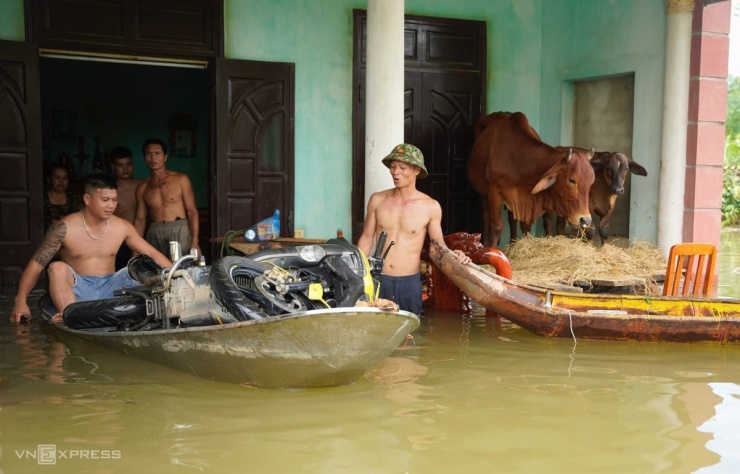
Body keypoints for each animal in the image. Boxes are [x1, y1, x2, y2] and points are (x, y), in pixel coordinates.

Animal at [468, 112, 596, 248]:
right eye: (572, 180)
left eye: (591, 182)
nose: (586, 219)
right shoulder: (494, 192)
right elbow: (496, 227)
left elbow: (525, 225)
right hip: (483, 192)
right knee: (486, 214)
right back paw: (486, 243)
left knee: (511, 219)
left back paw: (513, 243)